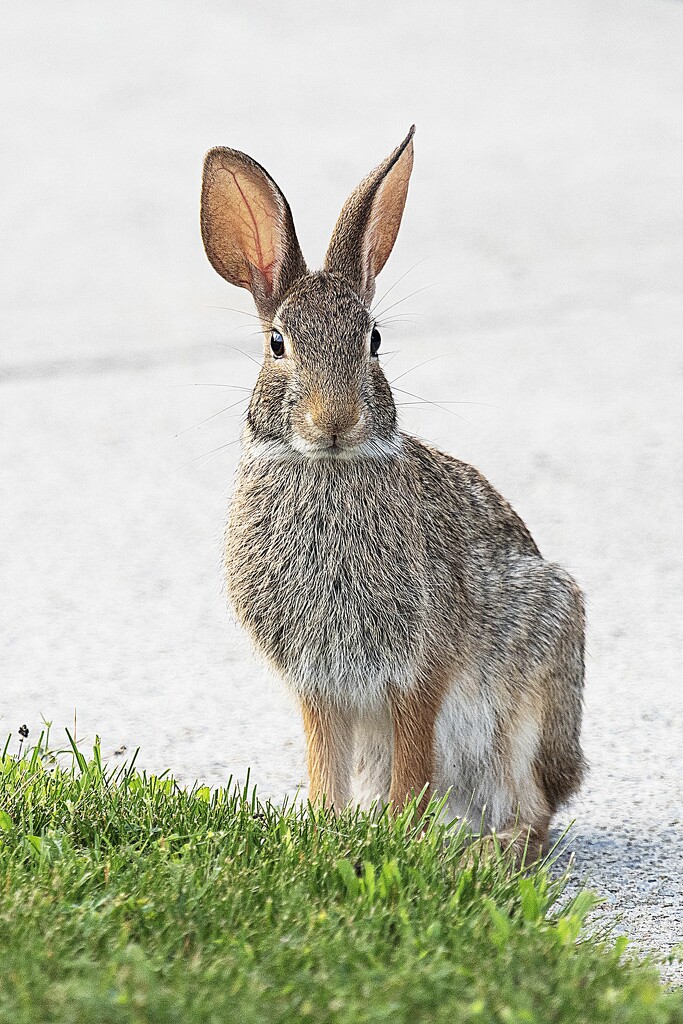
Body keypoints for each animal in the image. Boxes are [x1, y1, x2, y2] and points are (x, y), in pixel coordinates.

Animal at [198, 125, 589, 856]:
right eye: (277, 344)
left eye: (373, 341)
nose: (334, 419)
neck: (325, 468)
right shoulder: (321, 687)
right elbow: (325, 760)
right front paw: (328, 827)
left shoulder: (418, 671)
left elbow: (415, 758)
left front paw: (400, 836)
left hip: (523, 706)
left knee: (535, 814)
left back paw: (485, 851)